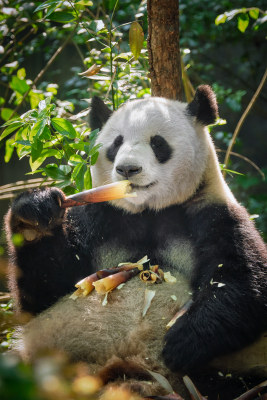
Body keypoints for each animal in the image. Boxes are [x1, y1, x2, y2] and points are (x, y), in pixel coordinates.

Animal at [5, 86, 267, 400]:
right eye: (116, 143)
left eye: (158, 143)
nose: (127, 170)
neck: (148, 211)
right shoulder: (98, 218)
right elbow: (44, 293)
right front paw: (35, 216)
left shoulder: (212, 213)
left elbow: (242, 283)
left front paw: (180, 343)